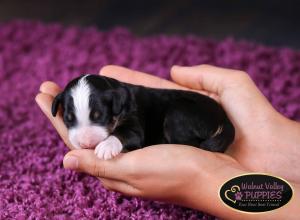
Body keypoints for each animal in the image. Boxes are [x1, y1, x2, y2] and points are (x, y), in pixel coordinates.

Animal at [51, 75, 234, 159]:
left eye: (100, 116)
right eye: (68, 118)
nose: (85, 144)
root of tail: (225, 119)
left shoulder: (134, 123)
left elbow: (124, 134)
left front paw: (106, 147)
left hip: (179, 113)